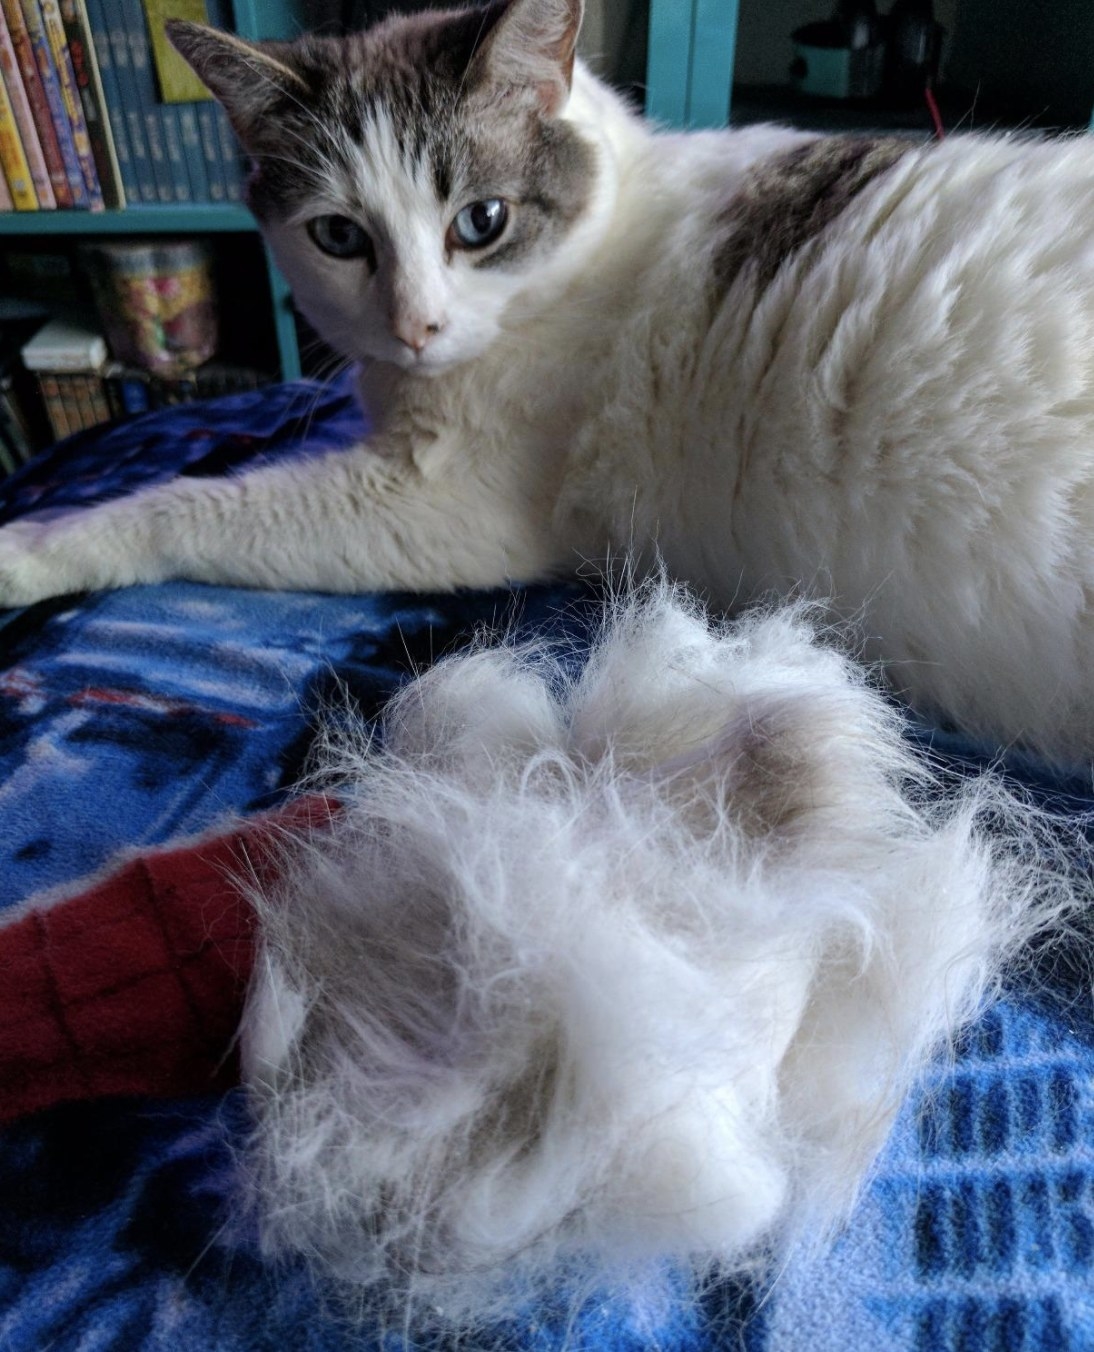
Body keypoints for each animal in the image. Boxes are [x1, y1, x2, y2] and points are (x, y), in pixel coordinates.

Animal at [2, 0, 1092, 762]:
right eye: (339, 238)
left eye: (481, 223)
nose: (415, 327)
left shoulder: (435, 504)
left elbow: (186, 505)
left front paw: (32, 546)